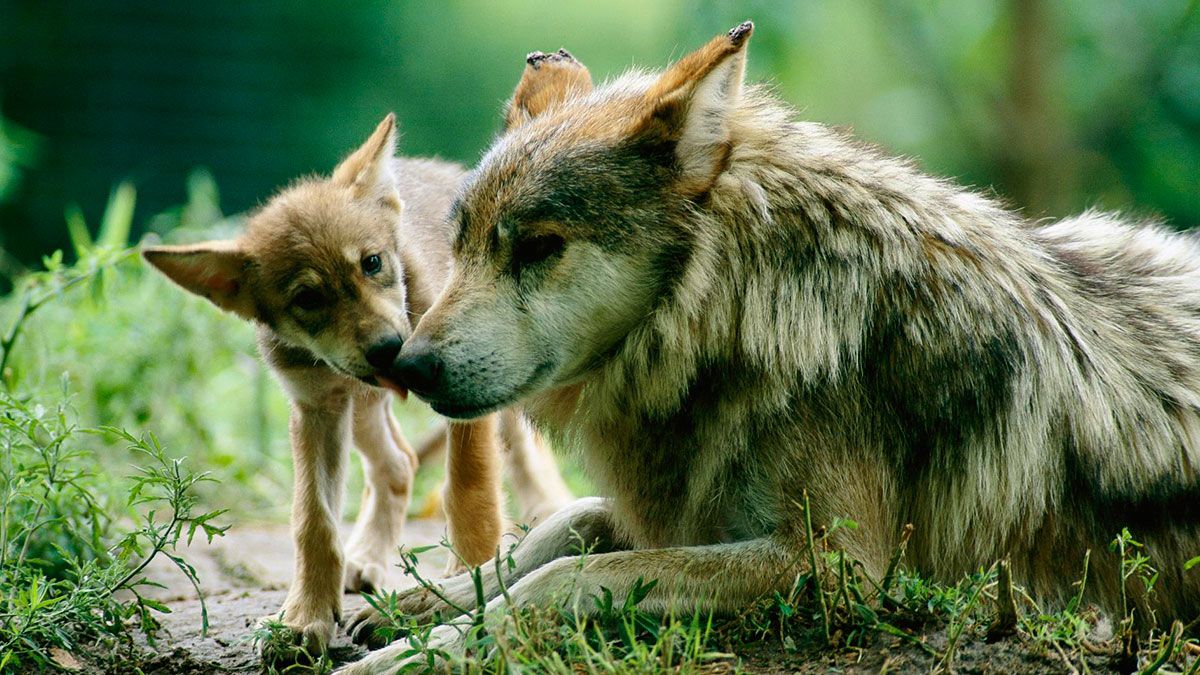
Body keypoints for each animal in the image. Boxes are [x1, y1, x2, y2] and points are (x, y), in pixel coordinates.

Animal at [142, 114, 571, 654]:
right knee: (399, 463)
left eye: (372, 262)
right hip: (363, 409)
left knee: (524, 453)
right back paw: (365, 557)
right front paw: (303, 618)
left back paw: (551, 511)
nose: (389, 349)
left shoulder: (462, 394)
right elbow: (314, 522)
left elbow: (468, 487)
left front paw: (467, 578)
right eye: (307, 298)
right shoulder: (316, 409)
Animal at [336, 23, 1200, 670]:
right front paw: (408, 607)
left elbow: (568, 575)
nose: (406, 366)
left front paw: (414, 653)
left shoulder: (835, 567)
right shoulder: (688, 506)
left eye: (541, 247)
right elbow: (563, 528)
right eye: (464, 245)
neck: (748, 311)